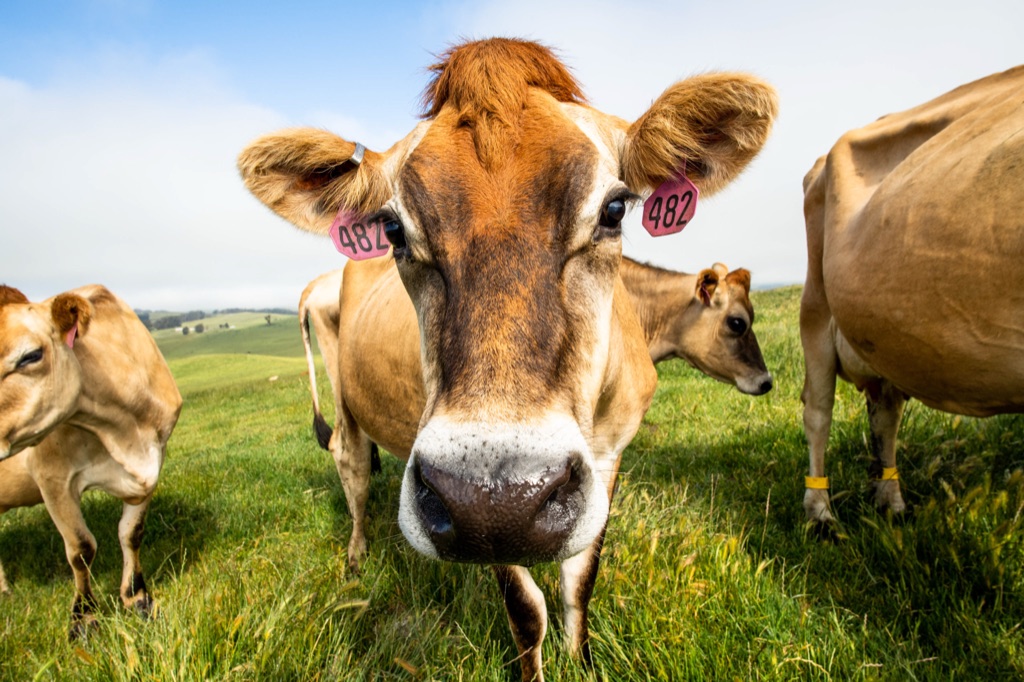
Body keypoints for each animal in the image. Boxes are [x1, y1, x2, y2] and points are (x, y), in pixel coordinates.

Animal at [0, 284, 182, 637]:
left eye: (30, 356)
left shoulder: (155, 459)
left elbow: (132, 532)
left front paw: (137, 597)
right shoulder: (52, 479)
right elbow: (81, 549)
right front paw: (84, 617)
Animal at [800, 65, 1024, 526]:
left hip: (884, 333)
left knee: (885, 413)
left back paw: (890, 501)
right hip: (815, 307)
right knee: (818, 410)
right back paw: (820, 513)